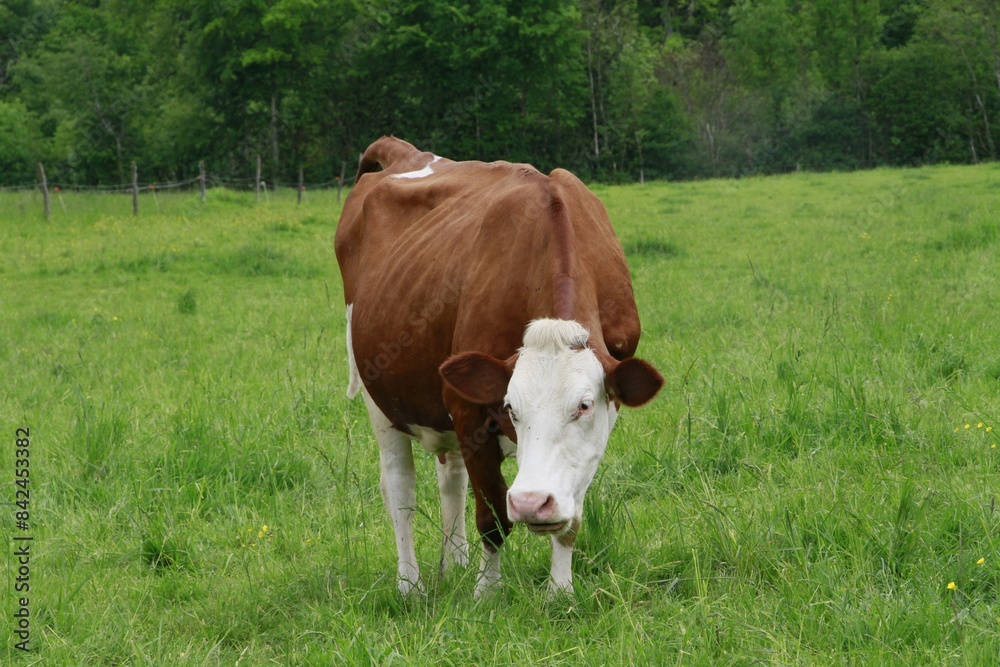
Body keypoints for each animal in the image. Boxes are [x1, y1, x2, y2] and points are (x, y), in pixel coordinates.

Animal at [336, 136, 663, 597]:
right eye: (511, 408)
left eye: (583, 406)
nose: (531, 502)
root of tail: (405, 152)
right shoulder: (468, 407)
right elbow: (491, 515)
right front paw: (486, 594)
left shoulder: (605, 415)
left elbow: (571, 513)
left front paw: (560, 593)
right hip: (378, 395)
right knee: (400, 488)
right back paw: (410, 585)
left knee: (450, 479)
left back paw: (454, 563)